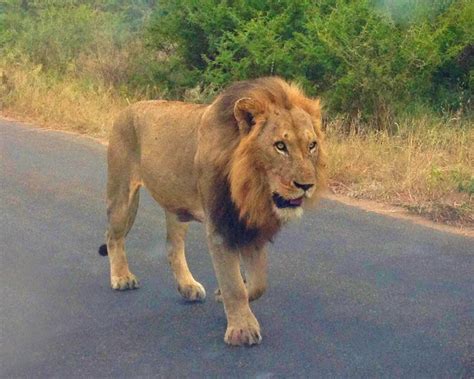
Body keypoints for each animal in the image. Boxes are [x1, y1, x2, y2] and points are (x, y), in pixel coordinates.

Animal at [96, 77, 326, 348]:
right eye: (280, 146)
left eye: (312, 145)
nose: (306, 186)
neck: (252, 187)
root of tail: (127, 108)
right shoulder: (220, 225)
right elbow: (233, 284)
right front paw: (242, 330)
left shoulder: (249, 225)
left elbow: (258, 283)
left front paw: (224, 296)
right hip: (123, 194)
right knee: (113, 236)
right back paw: (122, 278)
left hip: (177, 205)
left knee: (173, 246)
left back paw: (187, 286)